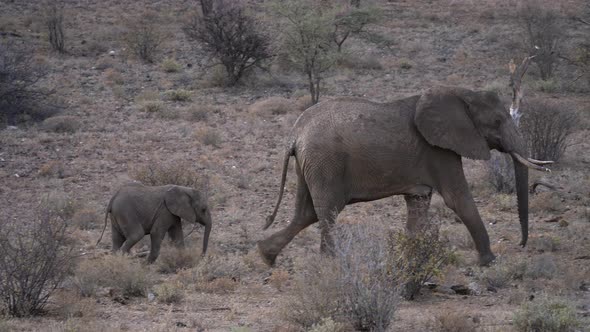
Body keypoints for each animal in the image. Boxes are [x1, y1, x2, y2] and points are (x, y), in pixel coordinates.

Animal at [262, 86, 552, 268]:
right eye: (498, 121)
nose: (521, 244)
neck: (460, 93)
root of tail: (296, 133)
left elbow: (418, 204)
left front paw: (407, 259)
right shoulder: (439, 151)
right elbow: (458, 199)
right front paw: (489, 262)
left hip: (310, 164)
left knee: (306, 212)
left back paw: (265, 255)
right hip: (325, 163)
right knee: (328, 211)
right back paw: (330, 263)